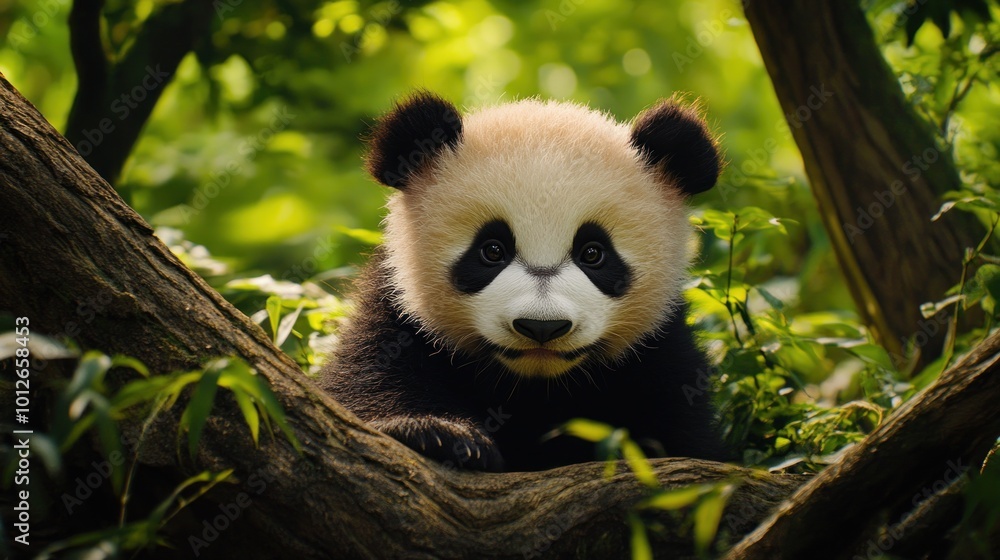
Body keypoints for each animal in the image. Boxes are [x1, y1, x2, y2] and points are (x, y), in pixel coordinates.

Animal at [319, 92, 727, 471]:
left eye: (593, 253)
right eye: (492, 250)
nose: (541, 327)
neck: (535, 383)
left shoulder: (659, 349)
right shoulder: (397, 313)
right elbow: (369, 377)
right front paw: (440, 436)